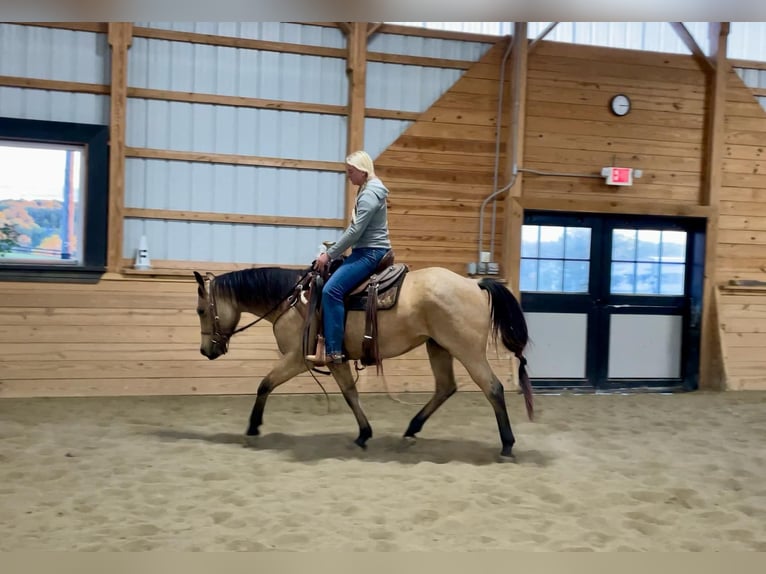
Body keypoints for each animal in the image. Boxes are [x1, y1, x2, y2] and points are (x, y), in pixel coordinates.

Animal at [195, 258, 536, 464]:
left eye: (200, 310)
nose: (205, 351)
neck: (291, 302)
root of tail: (474, 283)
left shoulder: (298, 359)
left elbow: (265, 384)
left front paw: (253, 427)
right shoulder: (336, 360)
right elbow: (350, 393)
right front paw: (363, 434)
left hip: (467, 350)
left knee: (492, 388)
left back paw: (507, 445)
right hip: (438, 347)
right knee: (445, 387)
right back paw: (411, 429)